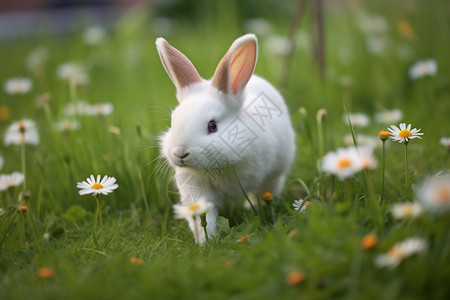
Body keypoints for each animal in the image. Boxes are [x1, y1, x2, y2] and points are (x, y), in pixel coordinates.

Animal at [156, 34, 298, 244]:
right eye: (173, 123)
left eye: (212, 126)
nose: (181, 153)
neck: (218, 166)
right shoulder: (197, 190)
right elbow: (204, 217)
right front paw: (204, 242)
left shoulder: (267, 178)